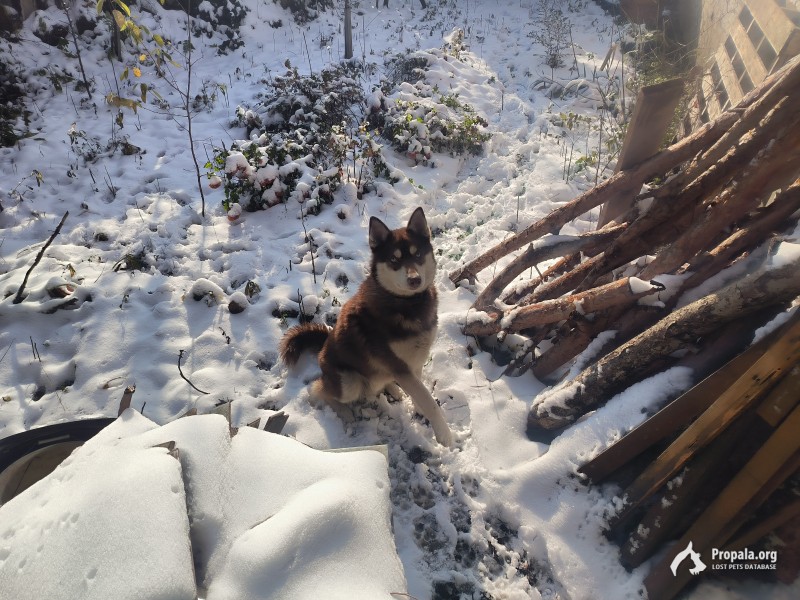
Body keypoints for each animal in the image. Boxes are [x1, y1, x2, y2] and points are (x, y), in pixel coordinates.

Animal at [282, 206, 454, 446]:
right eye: (393, 259)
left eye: (418, 254)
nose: (414, 280)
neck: (407, 304)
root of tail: (324, 345)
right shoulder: (399, 365)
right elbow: (429, 402)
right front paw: (444, 433)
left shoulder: (414, 361)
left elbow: (420, 390)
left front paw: (418, 406)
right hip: (349, 382)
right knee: (318, 390)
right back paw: (343, 412)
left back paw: (393, 388)